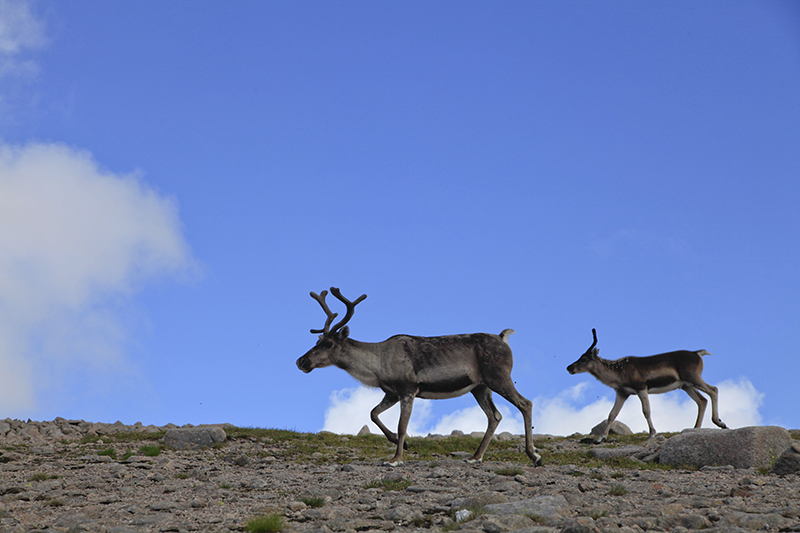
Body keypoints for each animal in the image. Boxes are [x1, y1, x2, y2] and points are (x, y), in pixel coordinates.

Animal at [296, 287, 542, 466]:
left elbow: (402, 425)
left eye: (329, 343)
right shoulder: (391, 393)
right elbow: (373, 414)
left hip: (498, 377)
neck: (377, 366)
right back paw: (475, 456)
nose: (301, 361)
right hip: (480, 387)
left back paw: (534, 456)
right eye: (317, 340)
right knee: (495, 415)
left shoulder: (408, 389)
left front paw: (396, 459)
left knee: (525, 403)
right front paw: (400, 445)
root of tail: (503, 338)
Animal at [567, 329, 728, 444]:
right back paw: (695, 428)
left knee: (713, 389)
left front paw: (652, 434)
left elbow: (646, 411)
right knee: (702, 400)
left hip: (693, 377)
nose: (569, 367)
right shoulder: (622, 393)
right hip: (685, 385)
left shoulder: (641, 388)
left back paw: (720, 422)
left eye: (584, 359)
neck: (618, 373)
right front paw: (600, 438)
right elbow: (612, 414)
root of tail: (698, 354)